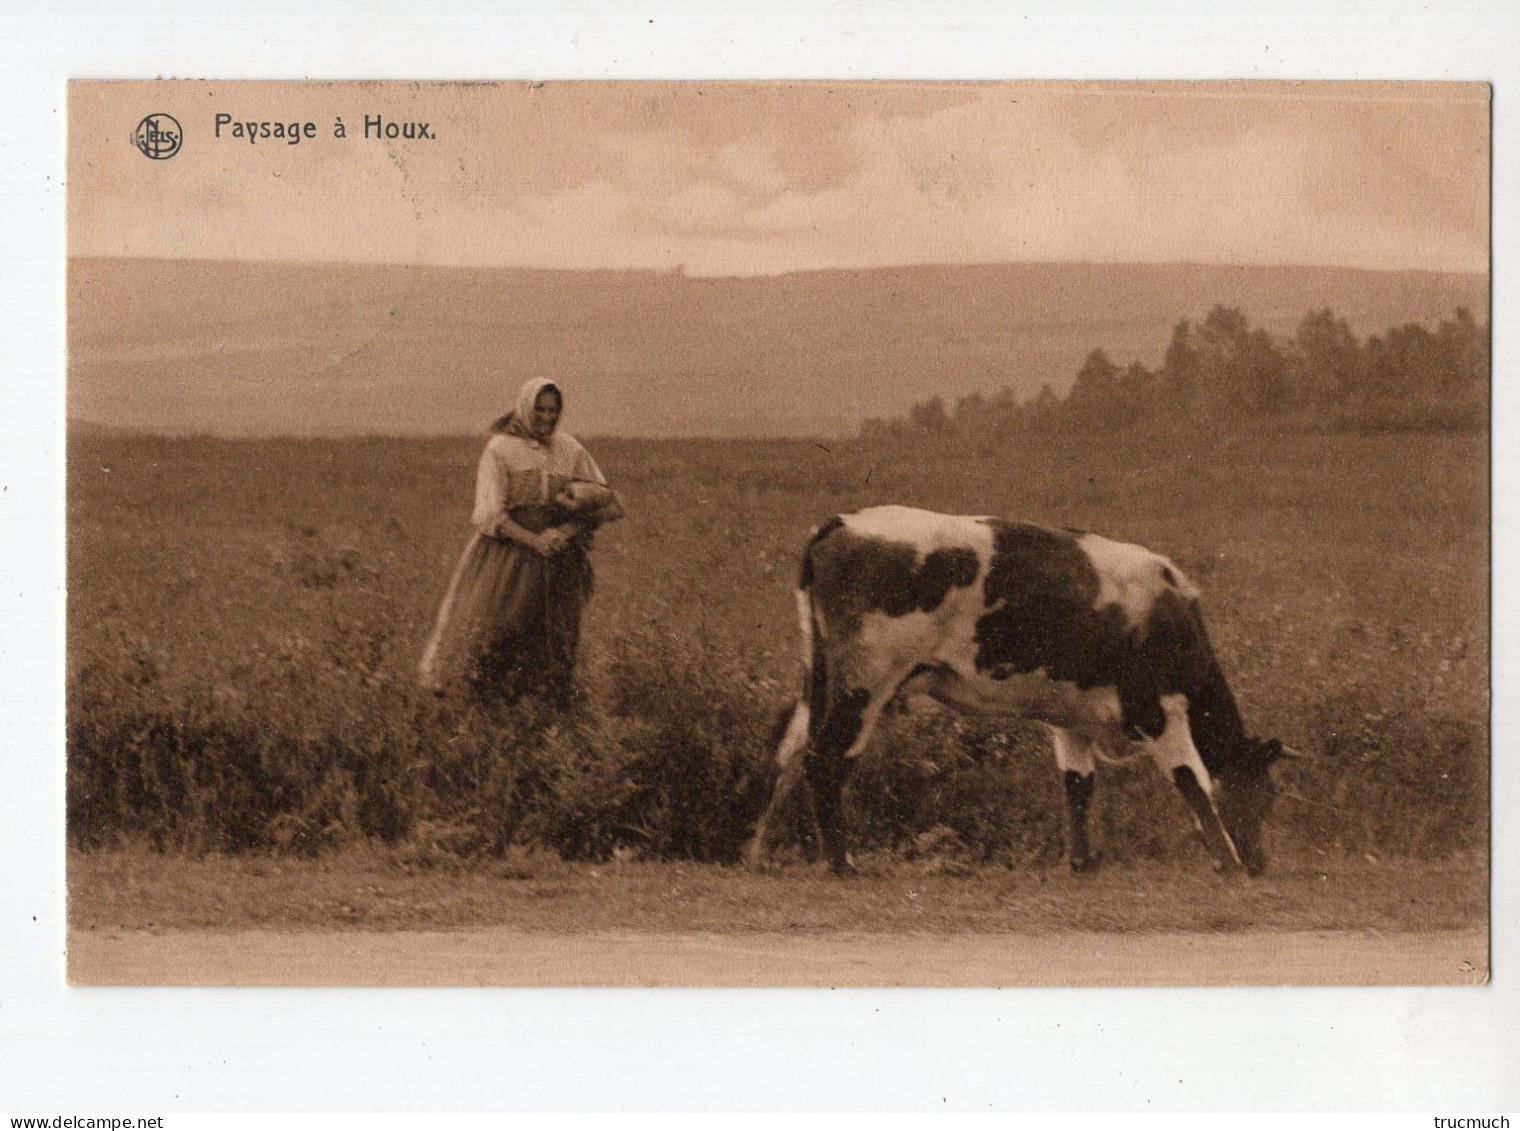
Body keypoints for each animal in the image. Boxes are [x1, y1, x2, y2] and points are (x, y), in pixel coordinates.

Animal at [750, 507, 1307, 881]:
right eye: (1265, 794)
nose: (1259, 863)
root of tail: (844, 522)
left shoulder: (1071, 718)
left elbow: (1077, 784)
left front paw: (1081, 863)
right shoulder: (1158, 712)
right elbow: (1192, 780)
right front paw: (1229, 864)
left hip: (818, 678)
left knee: (786, 755)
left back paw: (755, 854)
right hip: (866, 681)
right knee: (825, 759)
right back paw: (841, 863)